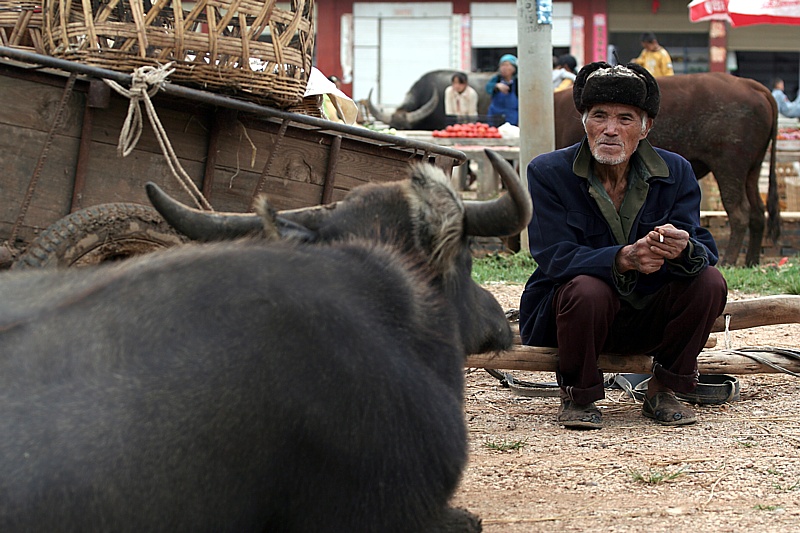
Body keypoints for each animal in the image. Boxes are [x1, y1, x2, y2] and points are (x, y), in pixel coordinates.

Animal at [552, 71, 780, 266]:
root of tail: (750, 85)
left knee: (739, 212)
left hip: (730, 167)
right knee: (758, 212)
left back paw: (729, 261)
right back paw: (751, 261)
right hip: (752, 169)